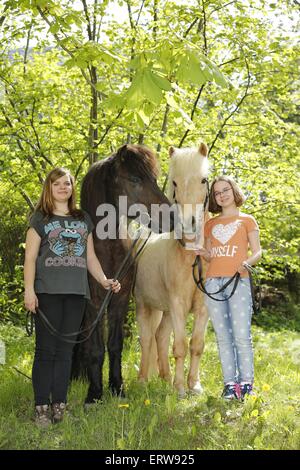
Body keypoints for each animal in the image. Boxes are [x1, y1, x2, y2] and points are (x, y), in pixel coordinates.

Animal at [71, 144, 173, 404]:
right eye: (135, 179)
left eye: (154, 178)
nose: (172, 218)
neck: (108, 249)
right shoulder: (95, 303)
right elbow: (96, 348)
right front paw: (95, 394)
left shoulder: (120, 298)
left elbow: (115, 345)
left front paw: (117, 388)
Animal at [135, 142, 210, 396]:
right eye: (175, 183)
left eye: (204, 180)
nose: (189, 224)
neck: (190, 256)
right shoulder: (178, 305)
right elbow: (179, 346)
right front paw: (179, 388)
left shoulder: (202, 308)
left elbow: (196, 345)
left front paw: (194, 385)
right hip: (146, 306)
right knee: (147, 338)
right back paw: (144, 380)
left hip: (165, 311)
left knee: (160, 336)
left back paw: (165, 378)